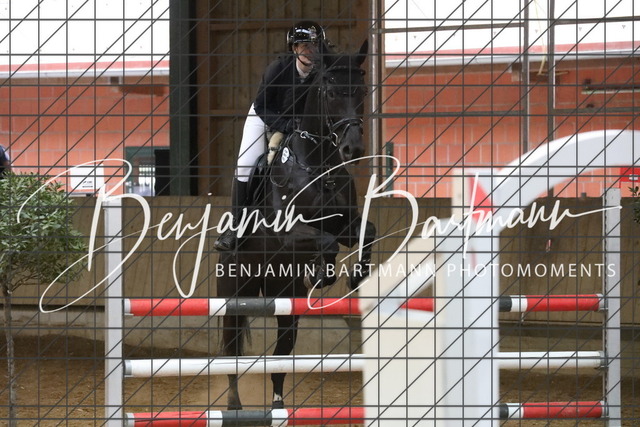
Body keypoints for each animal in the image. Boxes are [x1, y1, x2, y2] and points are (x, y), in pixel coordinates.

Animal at [216, 39, 375, 410]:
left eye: (362, 90)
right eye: (330, 91)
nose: (353, 147)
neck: (318, 167)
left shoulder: (345, 227)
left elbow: (367, 232)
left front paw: (355, 276)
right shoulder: (286, 232)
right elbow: (325, 242)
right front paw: (323, 274)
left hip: (285, 299)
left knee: (281, 353)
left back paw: (277, 405)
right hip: (235, 294)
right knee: (230, 351)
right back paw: (234, 406)